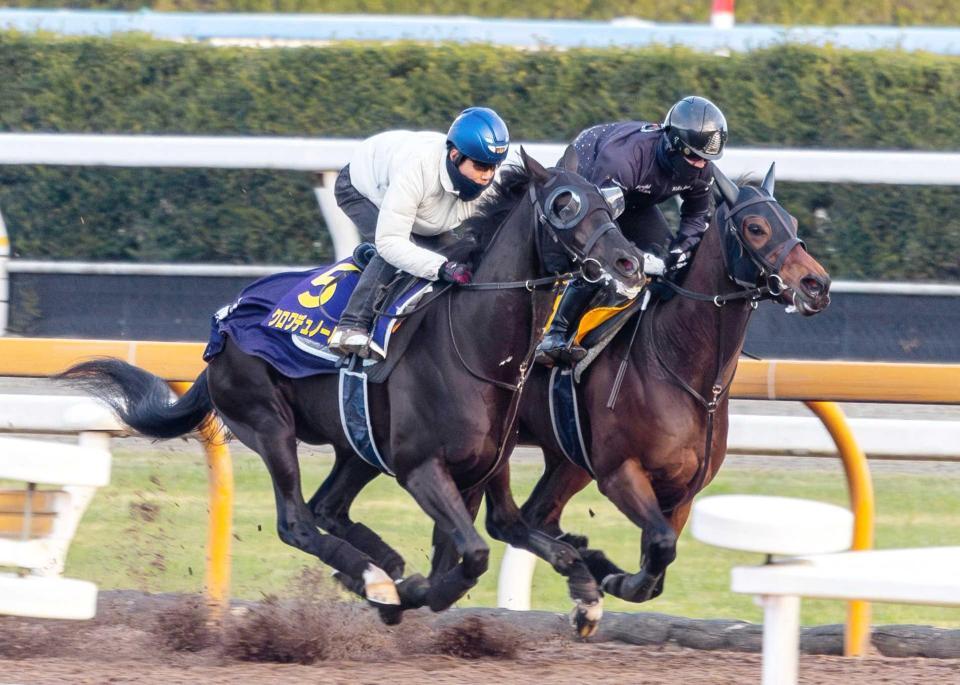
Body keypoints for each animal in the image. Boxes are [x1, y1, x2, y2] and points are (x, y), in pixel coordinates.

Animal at [510, 163, 832, 608]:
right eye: (755, 227)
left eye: (794, 223)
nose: (817, 285)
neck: (679, 364)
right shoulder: (619, 474)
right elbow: (659, 549)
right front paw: (615, 579)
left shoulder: (682, 494)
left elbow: (659, 565)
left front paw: (606, 572)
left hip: (568, 461)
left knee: (537, 515)